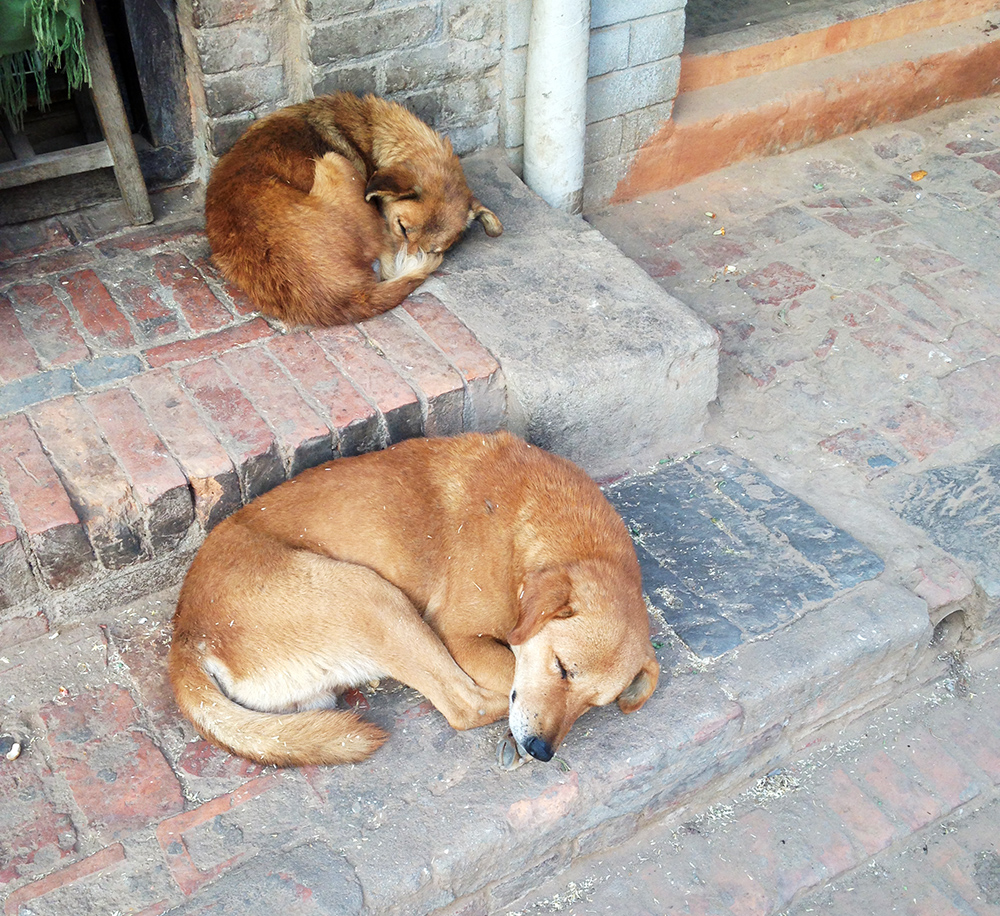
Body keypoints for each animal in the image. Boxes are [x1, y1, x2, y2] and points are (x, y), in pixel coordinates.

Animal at [168, 431, 659, 768]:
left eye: (593, 706)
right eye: (561, 669)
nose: (541, 751)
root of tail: (185, 638)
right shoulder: (462, 637)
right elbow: (508, 676)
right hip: (371, 597)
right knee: (465, 705)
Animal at [204, 92, 503, 327]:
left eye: (434, 250)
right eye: (402, 227)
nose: (411, 259)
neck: (371, 130)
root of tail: (344, 296)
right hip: (334, 160)